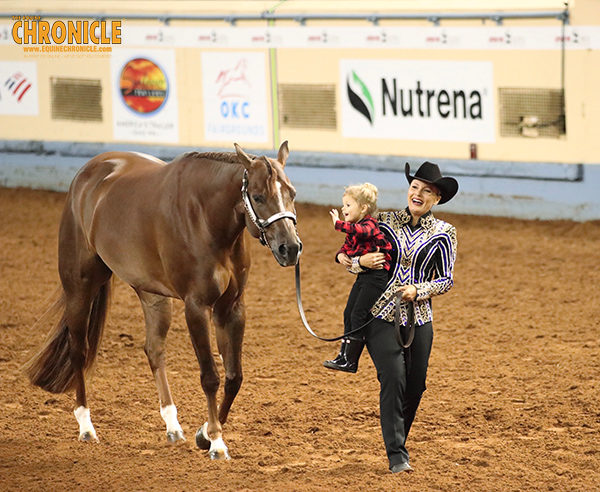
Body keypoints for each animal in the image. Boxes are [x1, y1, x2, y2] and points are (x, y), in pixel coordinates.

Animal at [24, 140, 302, 460]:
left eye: (292, 193)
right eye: (257, 196)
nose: (290, 248)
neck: (206, 217)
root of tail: (88, 173)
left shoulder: (231, 307)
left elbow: (234, 377)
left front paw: (203, 434)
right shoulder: (196, 306)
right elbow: (210, 376)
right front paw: (216, 442)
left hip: (153, 295)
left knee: (154, 350)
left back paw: (172, 426)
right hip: (79, 287)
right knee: (79, 351)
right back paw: (86, 427)